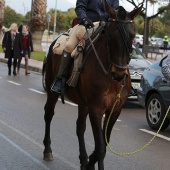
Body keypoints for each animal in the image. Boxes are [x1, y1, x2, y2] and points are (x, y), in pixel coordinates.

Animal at [43, 1, 143, 170]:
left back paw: (83, 159)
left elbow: (103, 144)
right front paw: (91, 163)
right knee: (49, 114)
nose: (119, 74)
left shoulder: (115, 109)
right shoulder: (96, 108)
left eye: (133, 36)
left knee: (80, 127)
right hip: (53, 90)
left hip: (83, 103)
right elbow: (100, 146)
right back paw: (48, 150)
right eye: (111, 36)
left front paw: (89, 162)